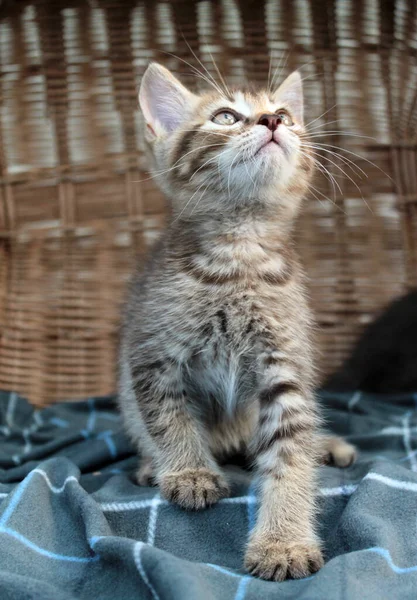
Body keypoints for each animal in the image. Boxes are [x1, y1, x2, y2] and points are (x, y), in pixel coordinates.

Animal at [117, 62, 354, 580]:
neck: (241, 251)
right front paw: (189, 470)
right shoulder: (152, 353)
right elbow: (169, 416)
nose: (273, 121)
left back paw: (326, 445)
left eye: (285, 113)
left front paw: (283, 541)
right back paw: (152, 464)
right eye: (225, 116)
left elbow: (291, 454)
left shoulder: (285, 366)